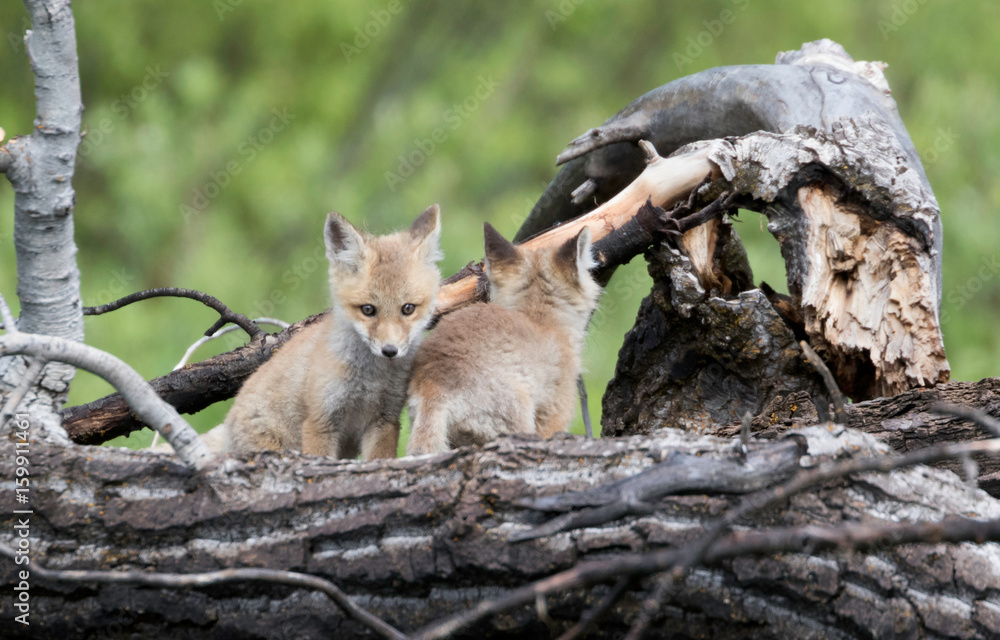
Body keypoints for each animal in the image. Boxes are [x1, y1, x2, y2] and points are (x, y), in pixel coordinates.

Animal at [225, 204, 443, 460]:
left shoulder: (385, 419)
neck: (370, 379)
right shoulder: (320, 420)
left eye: (408, 308)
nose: (390, 350)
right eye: (368, 310)